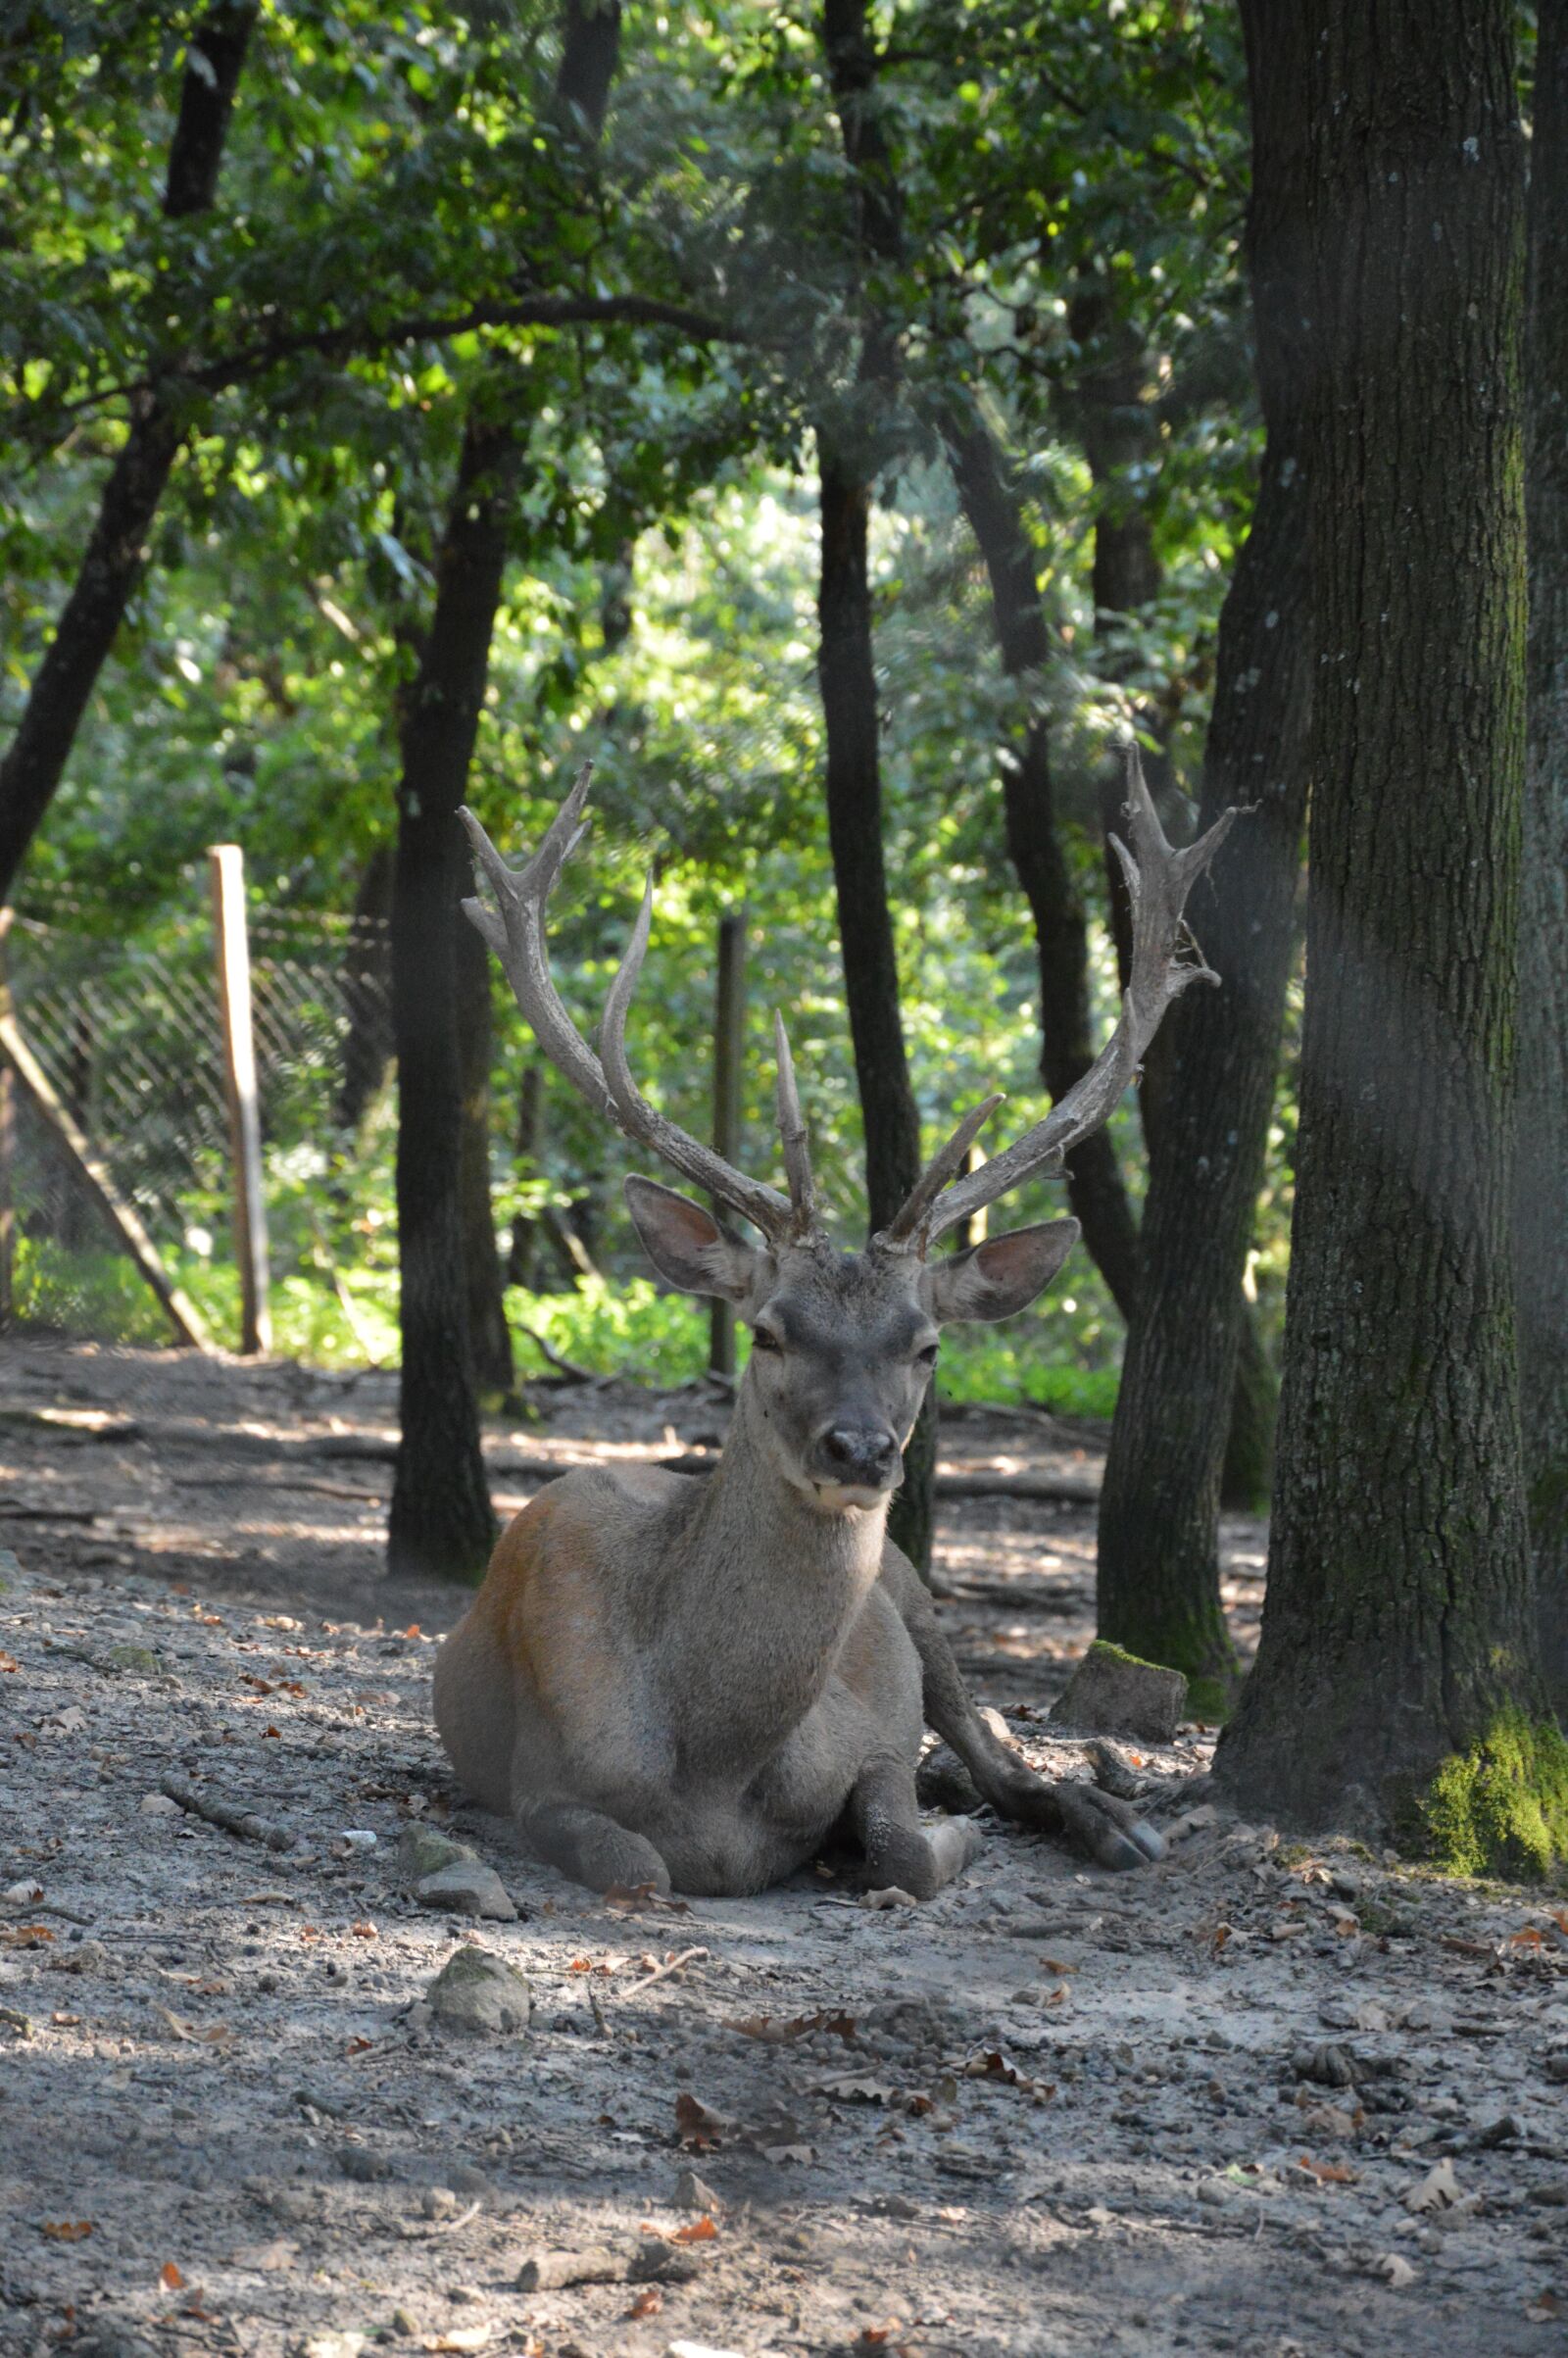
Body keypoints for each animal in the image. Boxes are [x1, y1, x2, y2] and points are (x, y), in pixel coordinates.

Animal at [433, 753, 1236, 1900]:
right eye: (767, 1333)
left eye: (928, 1345)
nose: (860, 1450)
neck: (715, 1766)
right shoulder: (542, 1776)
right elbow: (639, 1867)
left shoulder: (874, 1733)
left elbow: (901, 1835)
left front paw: (939, 1841)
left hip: (917, 1598)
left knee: (998, 1754)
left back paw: (1116, 1824)